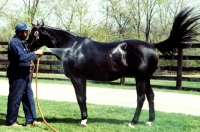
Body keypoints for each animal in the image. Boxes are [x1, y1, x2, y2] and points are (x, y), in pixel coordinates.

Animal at [27, 6, 200, 127]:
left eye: (32, 33)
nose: (26, 46)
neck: (71, 46)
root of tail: (152, 45)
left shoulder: (76, 78)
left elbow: (80, 98)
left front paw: (82, 121)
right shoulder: (83, 78)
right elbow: (84, 98)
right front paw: (84, 119)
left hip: (140, 79)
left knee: (141, 98)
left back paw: (133, 122)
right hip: (147, 78)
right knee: (151, 96)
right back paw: (150, 121)